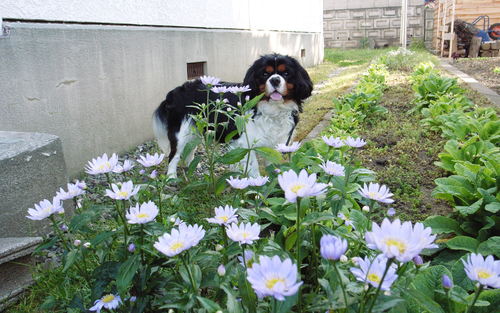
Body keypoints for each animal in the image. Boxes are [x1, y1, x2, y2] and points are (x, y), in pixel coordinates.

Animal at [152, 52, 312, 177]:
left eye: (286, 74)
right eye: (265, 74)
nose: (275, 80)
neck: (272, 109)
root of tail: (176, 90)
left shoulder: (276, 143)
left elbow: (273, 166)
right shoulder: (245, 143)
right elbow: (254, 168)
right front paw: (257, 189)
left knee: (191, 148)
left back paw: (193, 166)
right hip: (180, 131)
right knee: (173, 156)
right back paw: (172, 177)